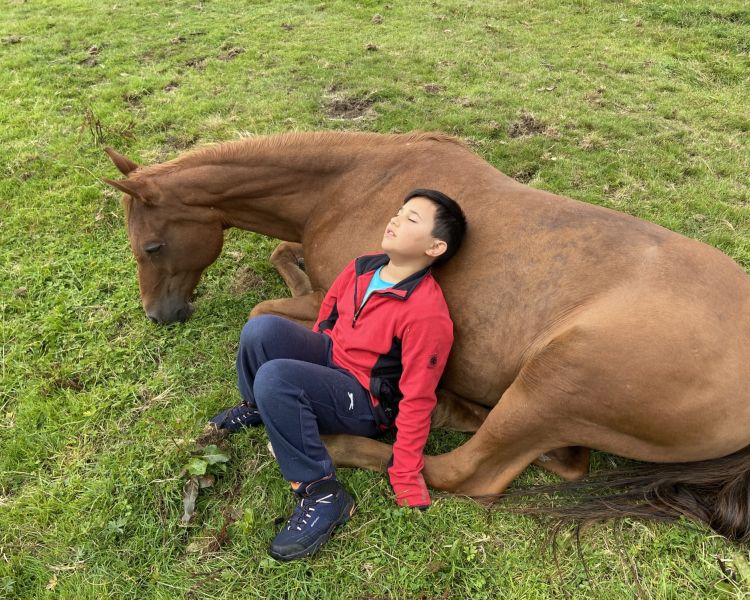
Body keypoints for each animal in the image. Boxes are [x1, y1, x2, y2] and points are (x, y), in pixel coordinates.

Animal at [103, 131, 750, 541]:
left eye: (151, 246)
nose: (159, 315)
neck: (355, 182)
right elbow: (281, 254)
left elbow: (268, 305)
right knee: (560, 459)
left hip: (554, 381)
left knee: (463, 473)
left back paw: (361, 439)